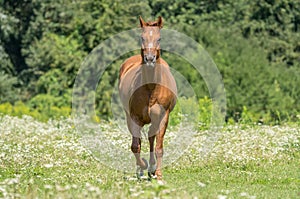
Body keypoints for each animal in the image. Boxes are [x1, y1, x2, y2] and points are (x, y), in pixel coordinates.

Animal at [118, 16, 177, 180]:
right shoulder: (134, 117)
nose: (150, 59)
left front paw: (158, 174)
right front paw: (143, 166)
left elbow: (159, 146)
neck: (151, 87)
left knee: (152, 137)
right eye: (142, 37)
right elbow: (135, 146)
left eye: (159, 38)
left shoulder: (163, 116)